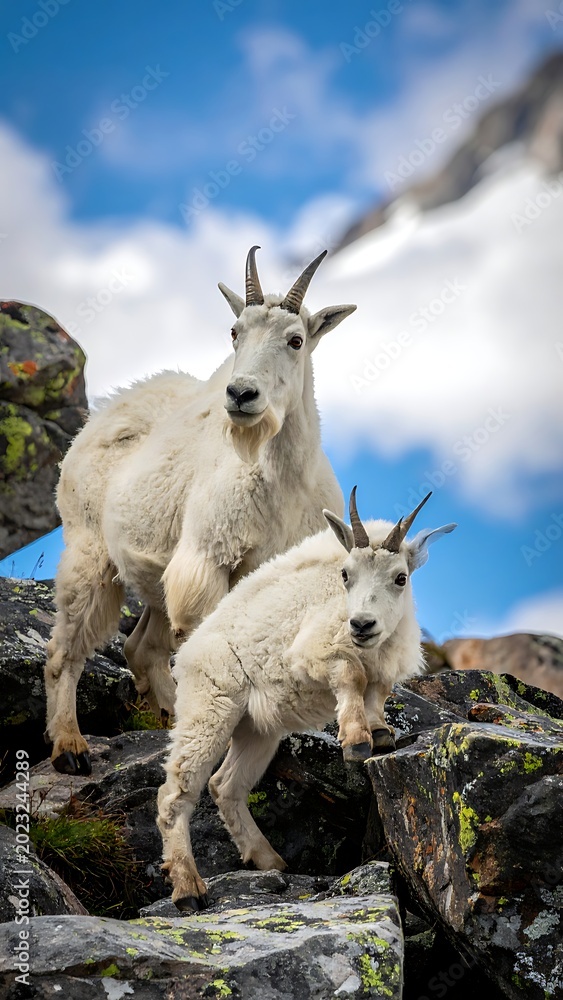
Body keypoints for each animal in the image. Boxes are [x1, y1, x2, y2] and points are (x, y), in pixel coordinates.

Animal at [44, 247, 356, 776]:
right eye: (235, 332)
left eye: (295, 339)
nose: (241, 395)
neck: (280, 479)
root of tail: (102, 413)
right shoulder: (208, 561)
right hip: (88, 550)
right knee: (64, 647)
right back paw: (70, 746)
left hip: (154, 576)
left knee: (141, 647)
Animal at [157, 488, 456, 911]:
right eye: (346, 575)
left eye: (401, 577)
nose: (361, 624)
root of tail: (183, 657)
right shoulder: (315, 652)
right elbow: (352, 674)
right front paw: (356, 740)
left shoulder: (385, 665)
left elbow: (377, 690)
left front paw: (381, 733)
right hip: (209, 707)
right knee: (175, 794)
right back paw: (188, 889)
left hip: (257, 729)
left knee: (225, 785)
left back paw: (269, 860)